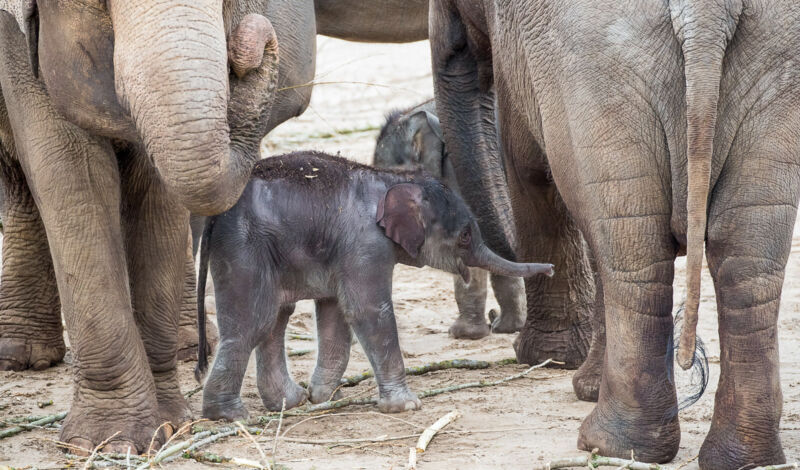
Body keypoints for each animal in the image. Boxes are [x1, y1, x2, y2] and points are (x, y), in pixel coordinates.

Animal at [197, 151, 552, 418]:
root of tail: (213, 216)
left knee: (276, 319)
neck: (391, 178)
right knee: (253, 323)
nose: (550, 270)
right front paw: (407, 406)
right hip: (243, 249)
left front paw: (324, 397)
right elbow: (368, 312)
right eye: (465, 235)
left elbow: (335, 314)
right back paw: (230, 416)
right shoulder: (365, 244)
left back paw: (290, 402)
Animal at [432, 0, 800, 470]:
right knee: (742, 259)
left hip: (598, 72)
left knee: (633, 251)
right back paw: (743, 458)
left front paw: (547, 360)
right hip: (770, 74)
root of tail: (706, 14)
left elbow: (528, 167)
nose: (497, 321)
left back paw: (607, 445)